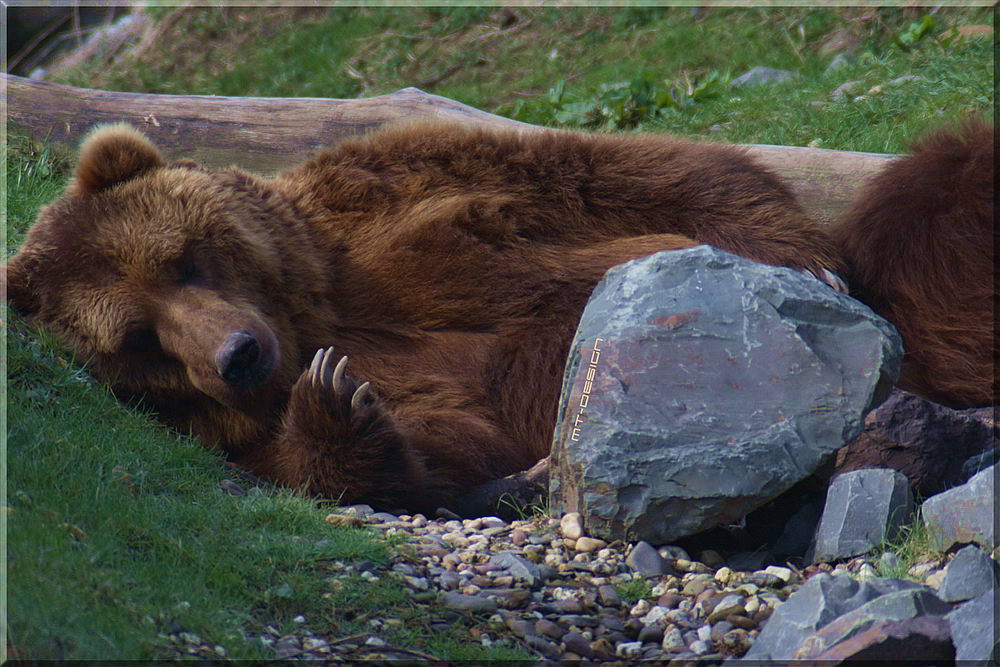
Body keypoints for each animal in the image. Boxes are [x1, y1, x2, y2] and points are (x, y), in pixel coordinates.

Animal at [3, 118, 992, 512]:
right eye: (137, 339)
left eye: (182, 258)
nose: (240, 354)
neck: (317, 307)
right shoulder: (259, 422)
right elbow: (416, 447)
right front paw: (337, 404)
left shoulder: (395, 201)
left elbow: (625, 173)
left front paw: (800, 259)